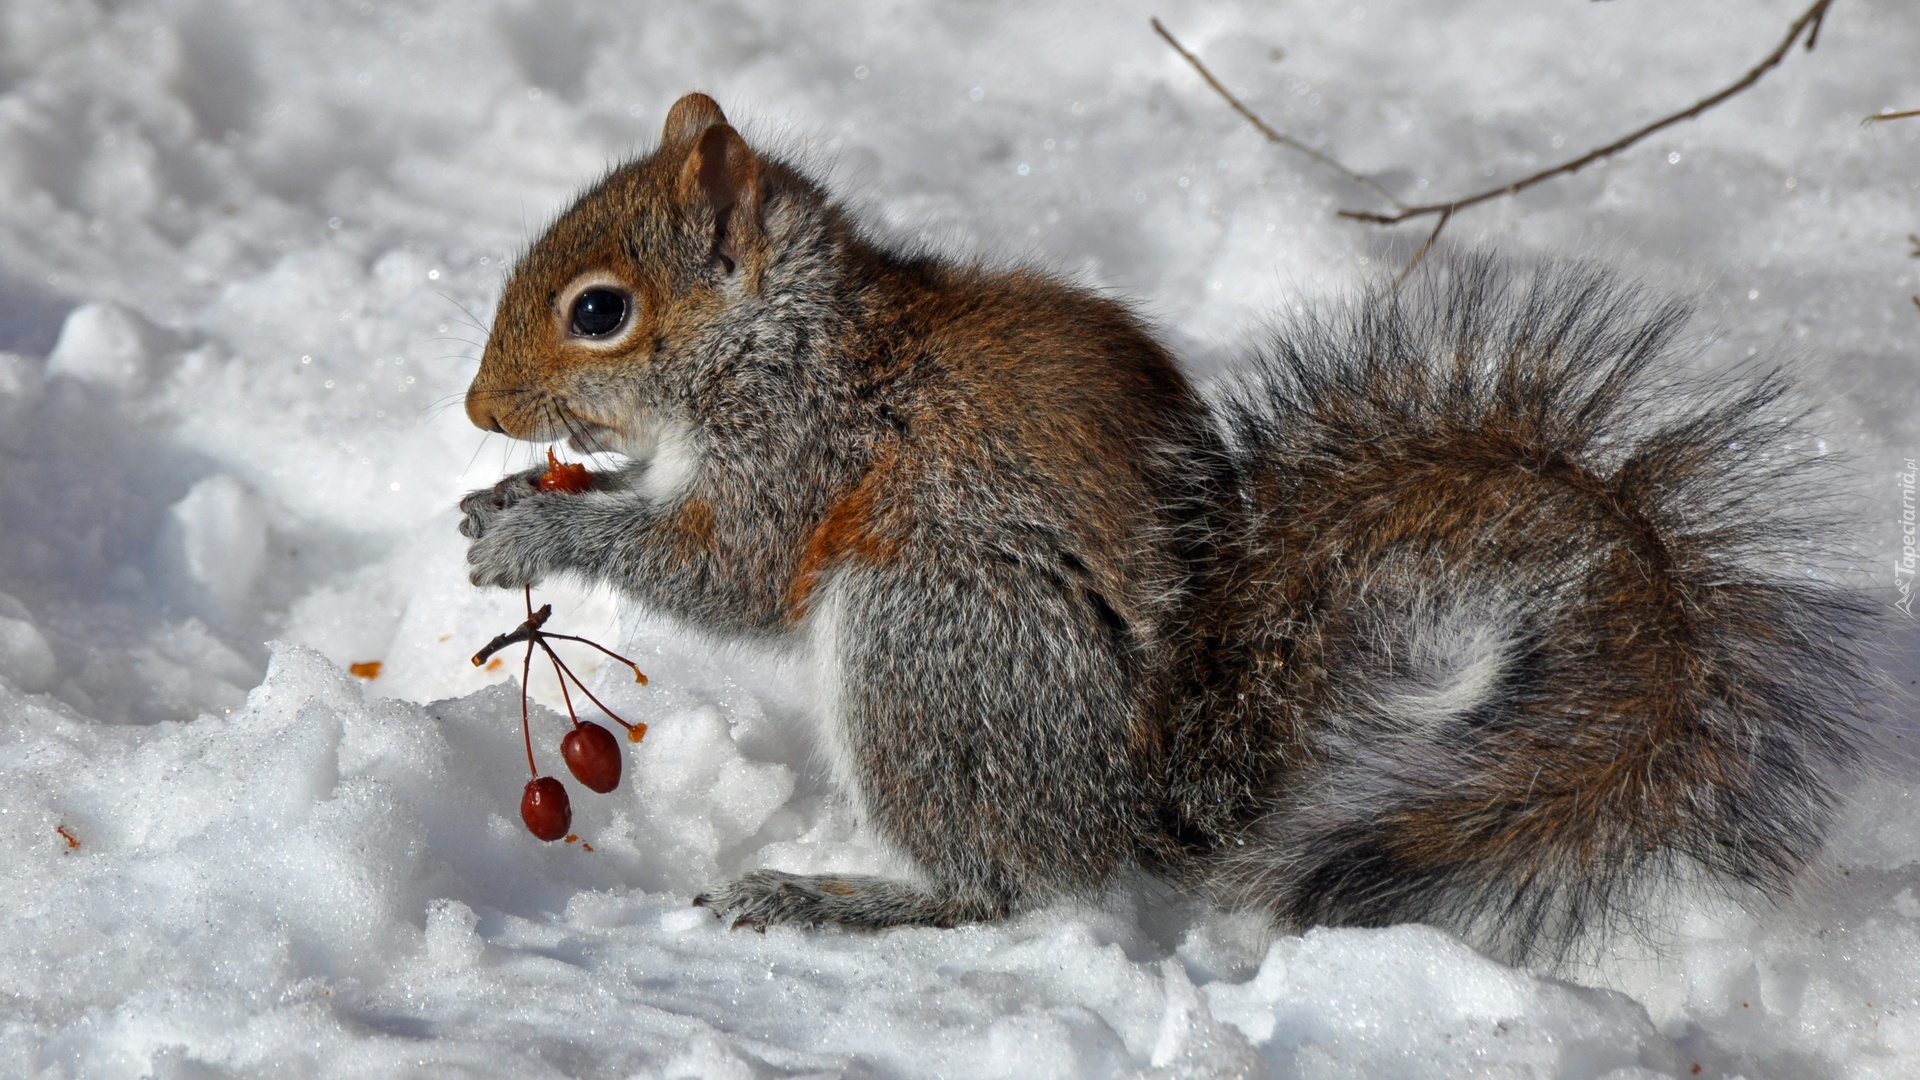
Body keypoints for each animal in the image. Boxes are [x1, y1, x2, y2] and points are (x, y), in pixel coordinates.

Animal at [460, 96, 1873, 960]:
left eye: (600, 311)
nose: (479, 410)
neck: (782, 337)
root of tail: (1143, 801)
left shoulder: (805, 453)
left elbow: (731, 571)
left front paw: (537, 537)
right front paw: (504, 503)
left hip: (932, 636)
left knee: (1002, 886)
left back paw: (831, 896)